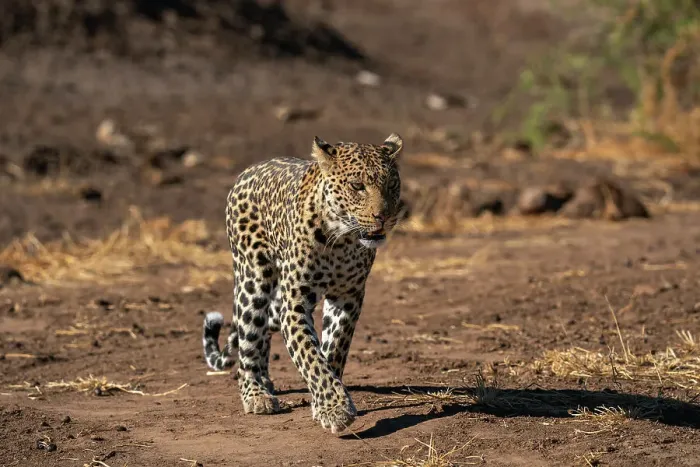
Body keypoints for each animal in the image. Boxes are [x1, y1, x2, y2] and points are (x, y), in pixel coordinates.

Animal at [202, 133, 404, 433]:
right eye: (357, 186)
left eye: (391, 185)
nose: (384, 217)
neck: (342, 242)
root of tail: (248, 171)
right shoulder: (295, 304)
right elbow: (310, 356)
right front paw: (335, 409)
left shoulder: (348, 297)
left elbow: (334, 349)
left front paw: (323, 403)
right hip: (253, 279)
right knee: (248, 336)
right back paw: (256, 394)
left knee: (262, 332)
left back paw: (265, 380)